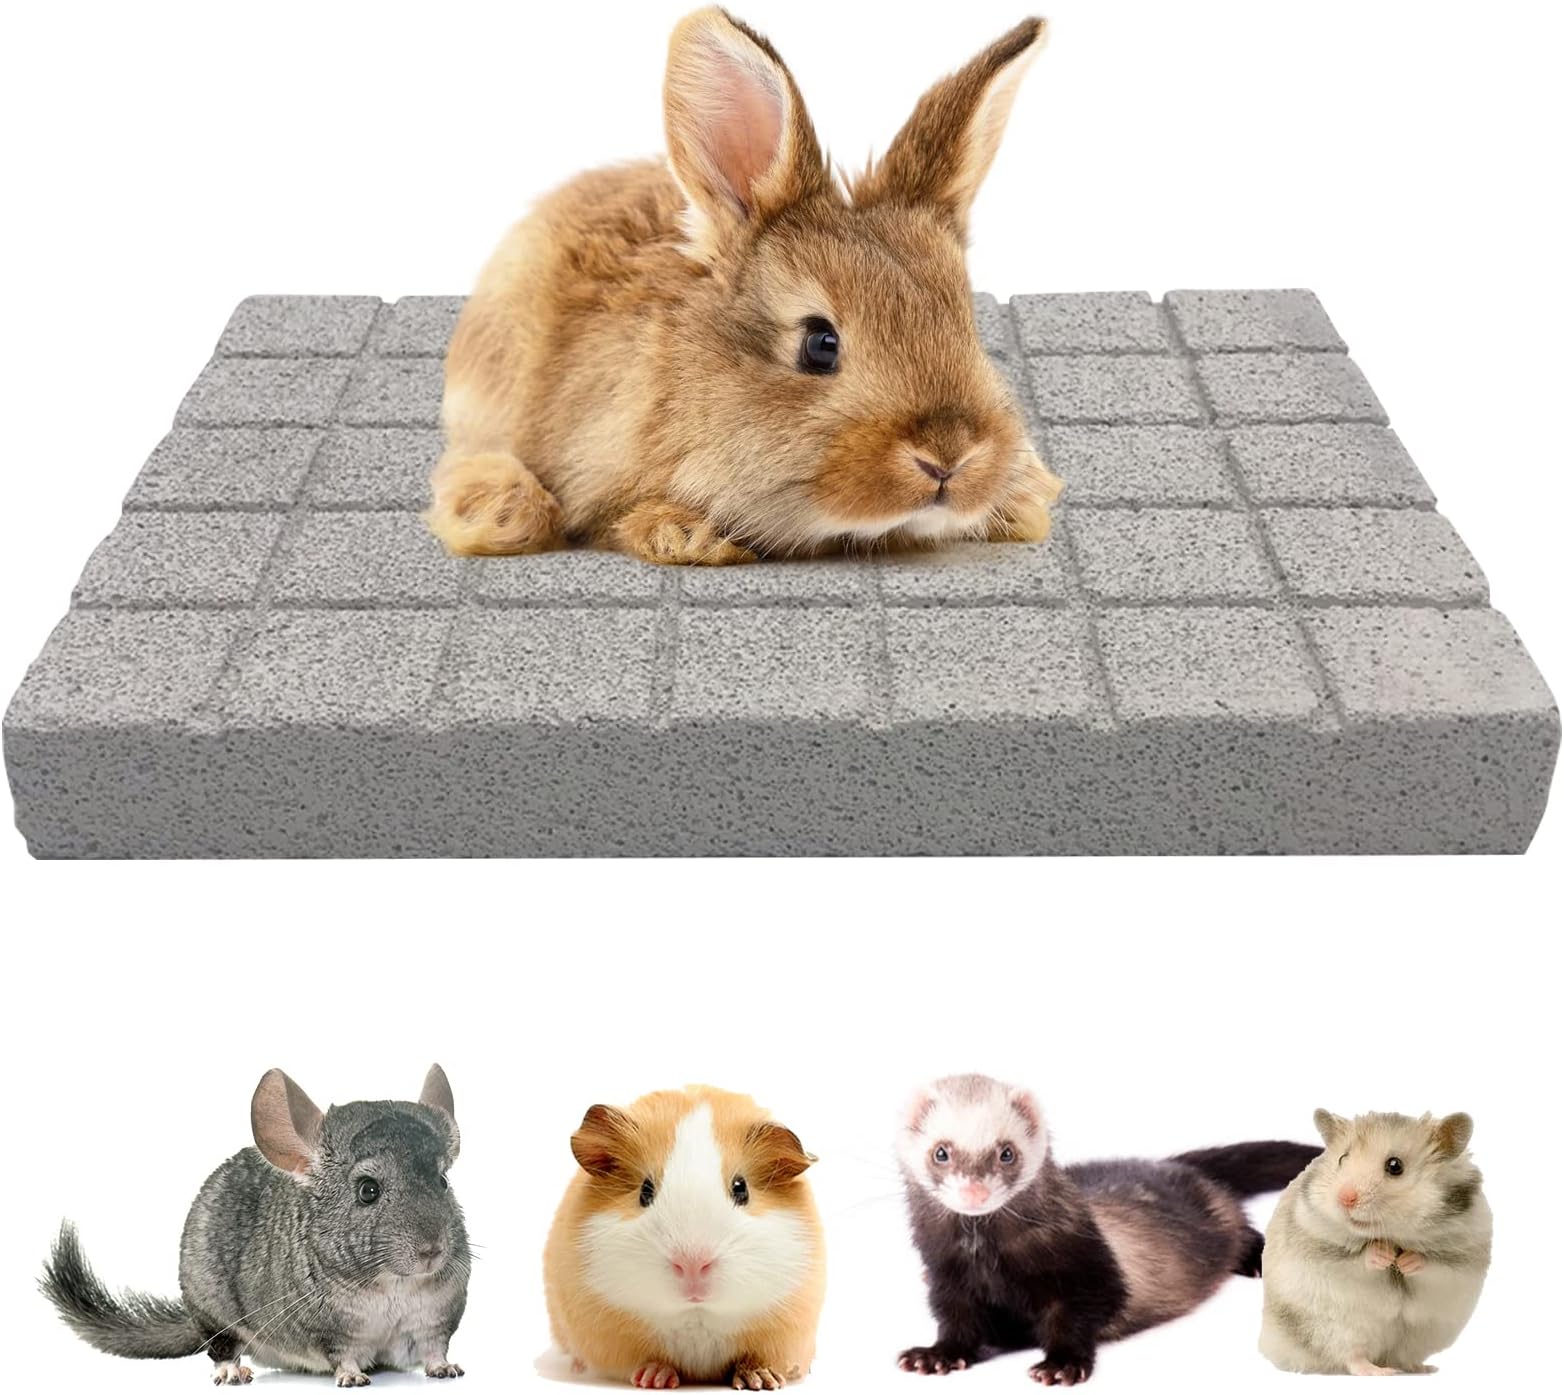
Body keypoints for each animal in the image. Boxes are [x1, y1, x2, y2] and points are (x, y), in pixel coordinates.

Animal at [41, 1065, 470, 1387]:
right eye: (368, 1191)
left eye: (443, 1182)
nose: (432, 1252)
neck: (393, 1285)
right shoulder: (329, 1330)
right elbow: (343, 1356)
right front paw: (351, 1378)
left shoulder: (435, 1321)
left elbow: (434, 1349)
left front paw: (446, 1369)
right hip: (210, 1309)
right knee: (221, 1347)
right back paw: (233, 1372)